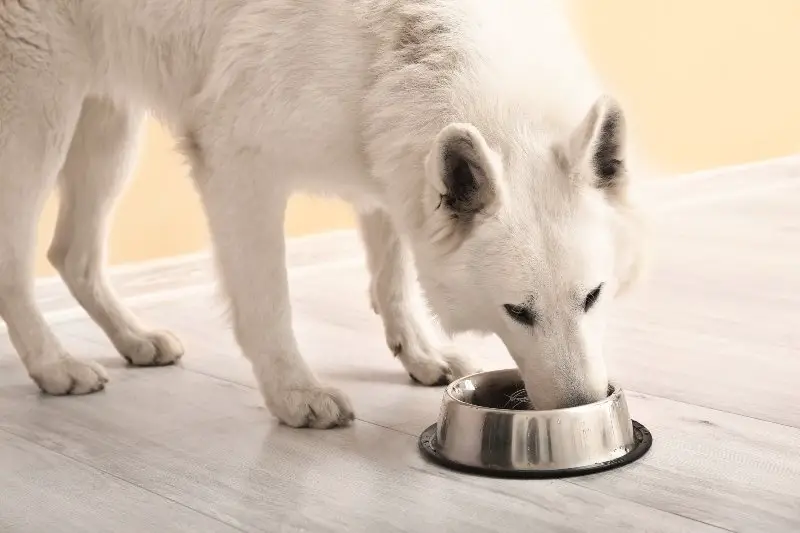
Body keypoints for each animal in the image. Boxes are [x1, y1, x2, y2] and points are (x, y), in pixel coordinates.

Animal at [0, 0, 648, 426]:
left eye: (592, 297)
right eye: (517, 312)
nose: (582, 410)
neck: (410, 40)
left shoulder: (390, 168)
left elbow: (391, 279)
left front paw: (419, 354)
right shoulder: (240, 168)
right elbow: (269, 305)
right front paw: (294, 394)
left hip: (108, 126)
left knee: (71, 254)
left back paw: (133, 338)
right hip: (38, 116)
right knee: (19, 264)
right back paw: (55, 365)